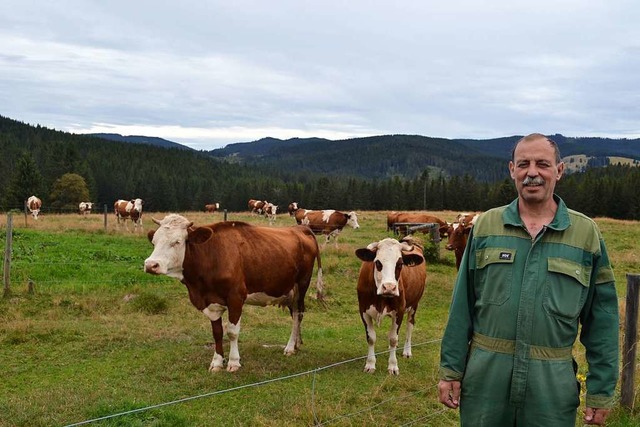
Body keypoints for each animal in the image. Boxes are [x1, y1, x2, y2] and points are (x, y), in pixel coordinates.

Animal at [144, 216, 324, 372]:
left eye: (177, 242)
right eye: (154, 242)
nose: (151, 265)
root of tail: (299, 228)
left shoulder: (236, 298)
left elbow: (232, 331)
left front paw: (233, 362)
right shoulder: (211, 301)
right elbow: (217, 333)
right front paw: (217, 362)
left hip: (301, 286)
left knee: (298, 314)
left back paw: (290, 347)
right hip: (289, 290)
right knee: (294, 314)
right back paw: (297, 344)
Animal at [356, 237, 424, 374]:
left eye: (400, 264)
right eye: (377, 263)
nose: (389, 287)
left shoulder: (399, 311)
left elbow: (393, 338)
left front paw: (393, 365)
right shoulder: (363, 311)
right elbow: (371, 338)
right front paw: (370, 364)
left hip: (414, 305)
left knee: (410, 325)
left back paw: (407, 351)